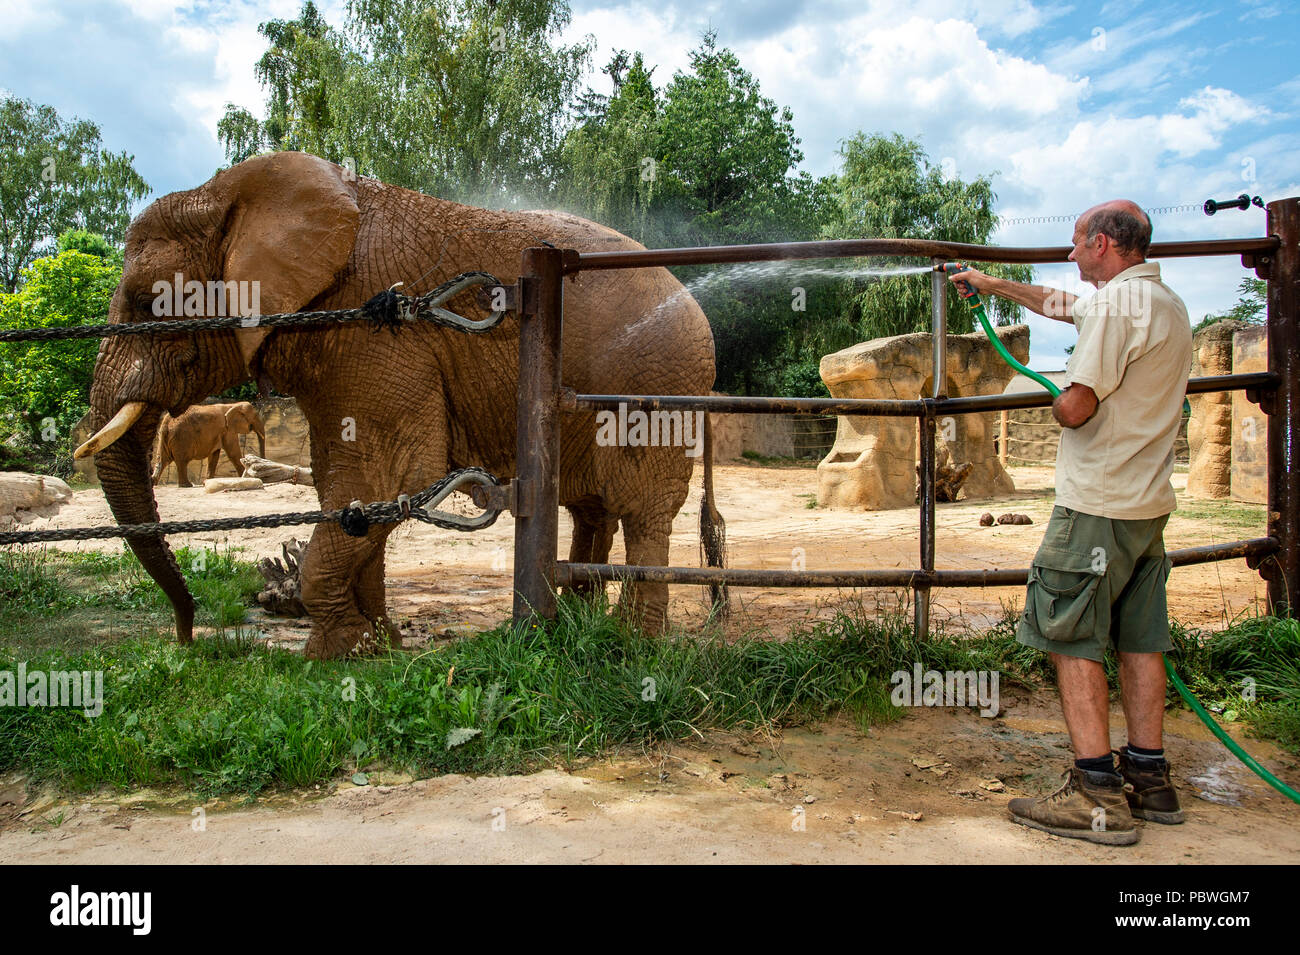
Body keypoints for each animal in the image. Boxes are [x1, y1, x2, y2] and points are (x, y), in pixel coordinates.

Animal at [74, 151, 722, 657]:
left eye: (146, 302)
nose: (187, 639)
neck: (225, 193)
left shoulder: (376, 332)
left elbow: (388, 475)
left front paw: (330, 656)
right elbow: (348, 486)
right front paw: (374, 646)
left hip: (658, 382)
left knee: (641, 508)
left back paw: (631, 644)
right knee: (592, 506)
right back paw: (578, 623)